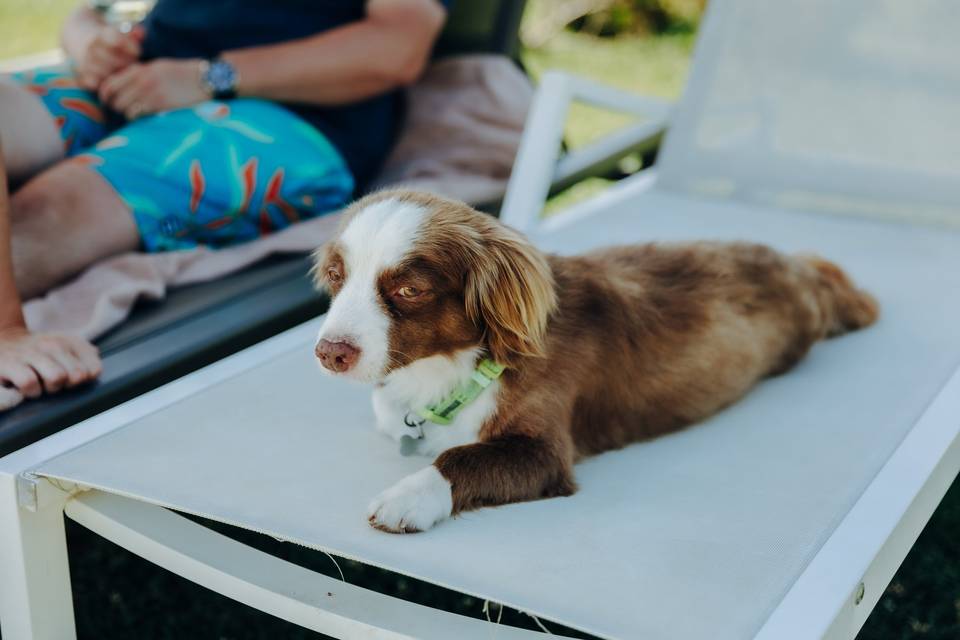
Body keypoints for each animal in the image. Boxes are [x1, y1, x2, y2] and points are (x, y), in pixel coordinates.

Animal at [314, 188, 876, 532]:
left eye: (409, 290)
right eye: (337, 277)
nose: (329, 353)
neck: (457, 368)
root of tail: (804, 271)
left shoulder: (545, 453)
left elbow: (462, 456)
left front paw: (408, 496)